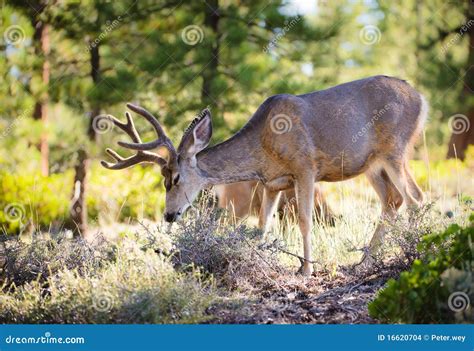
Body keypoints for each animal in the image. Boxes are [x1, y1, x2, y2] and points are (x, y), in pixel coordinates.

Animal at [103, 75, 426, 276]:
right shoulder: (272, 183)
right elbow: (262, 225)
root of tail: (422, 98)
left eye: (176, 178)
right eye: (163, 179)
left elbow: (304, 220)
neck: (263, 148)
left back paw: (414, 252)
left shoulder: (305, 167)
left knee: (415, 197)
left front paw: (306, 269)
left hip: (395, 149)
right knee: (393, 201)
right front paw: (257, 260)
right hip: (372, 165)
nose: (170, 215)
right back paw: (363, 262)